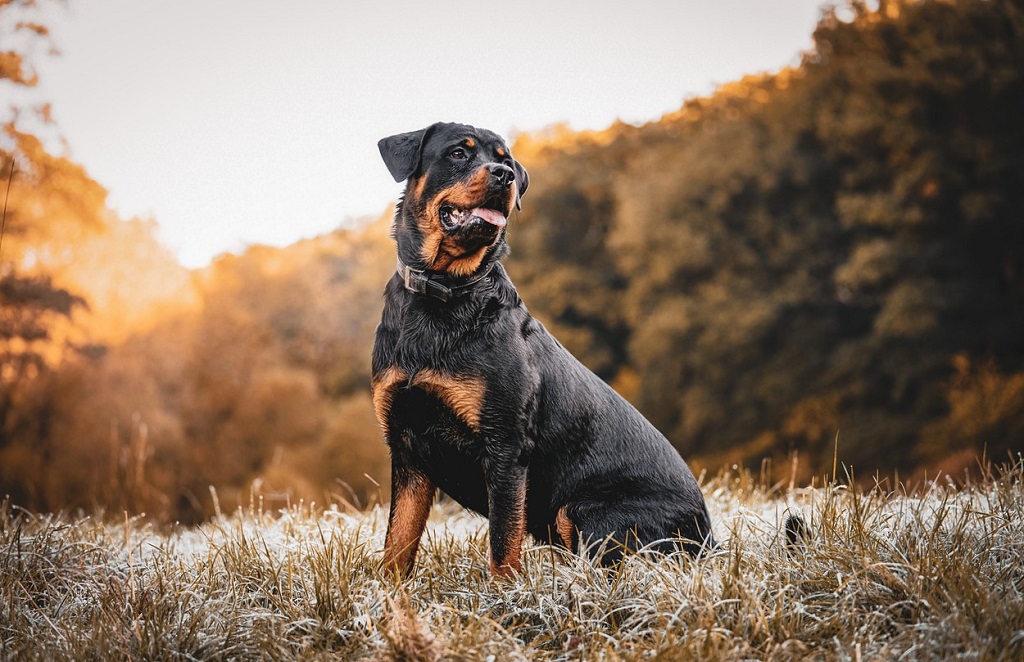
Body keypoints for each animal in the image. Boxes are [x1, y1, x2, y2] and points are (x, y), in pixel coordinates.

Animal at [372, 121, 716, 577]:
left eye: (505, 159)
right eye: (458, 153)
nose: (504, 175)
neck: (444, 293)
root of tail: (710, 540)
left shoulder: (505, 446)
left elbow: (503, 543)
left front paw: (504, 596)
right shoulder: (406, 445)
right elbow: (398, 540)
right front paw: (387, 593)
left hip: (583, 510)